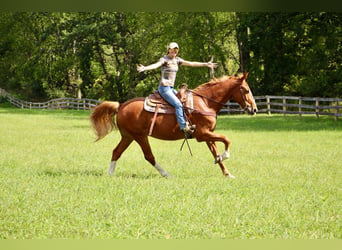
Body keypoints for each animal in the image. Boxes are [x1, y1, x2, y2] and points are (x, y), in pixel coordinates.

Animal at [91, 72, 256, 178]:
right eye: (246, 90)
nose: (254, 109)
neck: (205, 102)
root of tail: (121, 106)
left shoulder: (208, 135)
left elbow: (216, 152)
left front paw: (227, 173)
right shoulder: (202, 134)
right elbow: (227, 139)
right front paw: (225, 155)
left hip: (128, 136)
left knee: (116, 152)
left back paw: (110, 174)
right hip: (140, 136)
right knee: (149, 156)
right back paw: (166, 174)